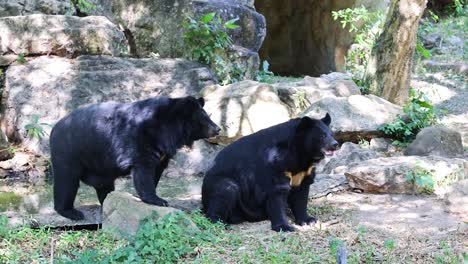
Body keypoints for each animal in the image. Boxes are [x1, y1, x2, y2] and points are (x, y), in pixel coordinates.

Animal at [50, 96, 219, 220]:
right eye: (205, 118)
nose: (218, 129)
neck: (168, 129)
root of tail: (54, 127)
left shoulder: (162, 152)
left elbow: (156, 170)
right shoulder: (141, 140)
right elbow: (143, 170)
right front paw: (158, 200)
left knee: (103, 186)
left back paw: (106, 201)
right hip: (69, 151)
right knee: (66, 180)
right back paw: (71, 212)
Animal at [200, 113, 336, 231]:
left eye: (332, 134)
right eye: (322, 136)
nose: (335, 144)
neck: (301, 154)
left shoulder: (303, 172)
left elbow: (301, 193)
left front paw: (308, 220)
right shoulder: (275, 162)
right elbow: (277, 192)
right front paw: (285, 227)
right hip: (221, 183)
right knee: (225, 192)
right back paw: (220, 223)